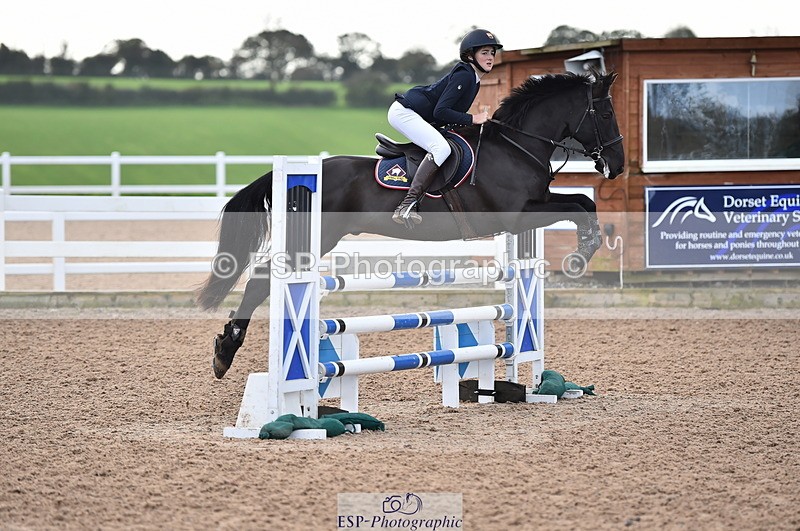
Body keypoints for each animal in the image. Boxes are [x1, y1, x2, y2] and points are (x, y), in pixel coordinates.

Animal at [197, 71, 625, 379]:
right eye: (606, 114)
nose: (617, 167)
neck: (516, 147)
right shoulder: (517, 214)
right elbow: (579, 204)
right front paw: (581, 255)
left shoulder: (532, 208)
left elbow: (582, 202)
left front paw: (585, 250)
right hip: (317, 238)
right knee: (261, 278)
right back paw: (225, 351)